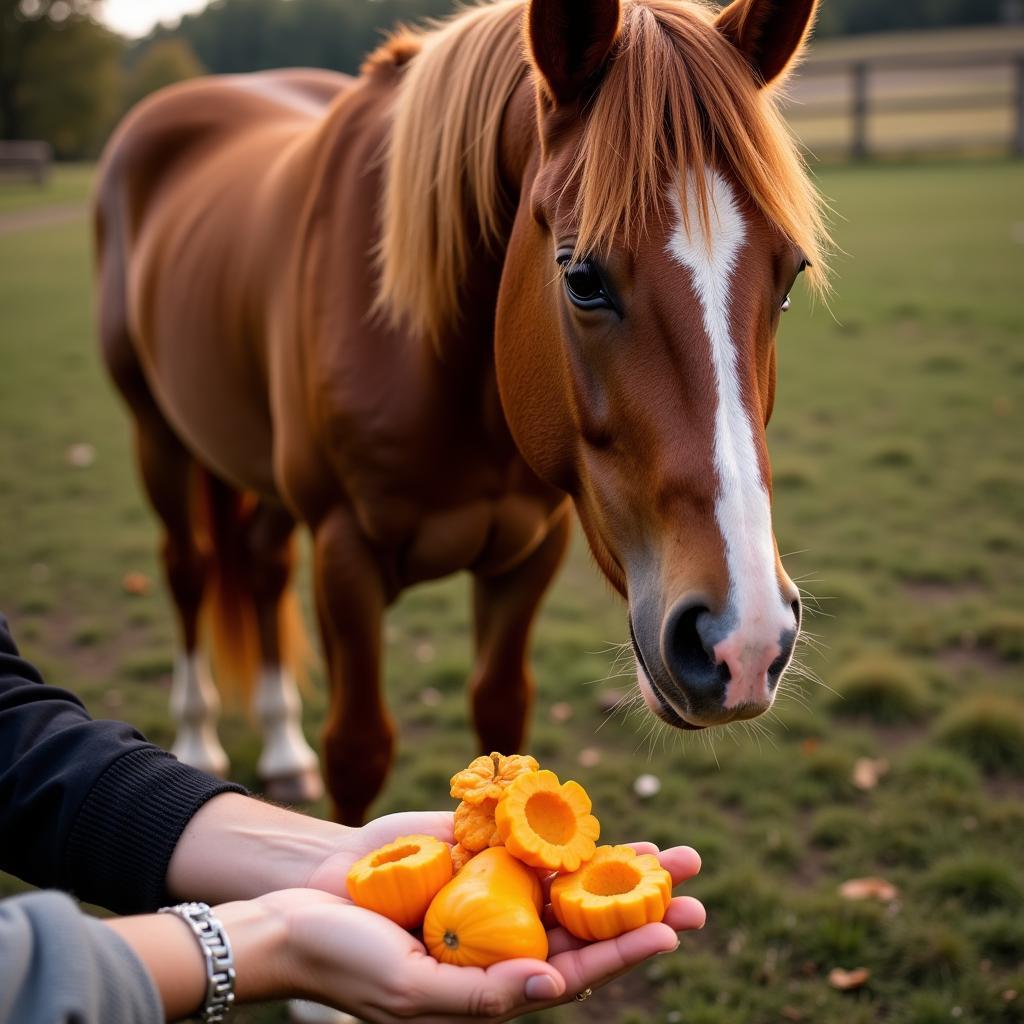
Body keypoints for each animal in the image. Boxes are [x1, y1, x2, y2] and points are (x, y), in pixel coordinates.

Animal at [94, 0, 831, 823]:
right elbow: (358, 749)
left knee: (260, 564)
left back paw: (283, 750)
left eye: (789, 276)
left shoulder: (529, 551)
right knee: (188, 569)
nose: (745, 640)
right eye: (582, 278)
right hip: (158, 436)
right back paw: (196, 739)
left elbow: (502, 715)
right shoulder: (345, 555)